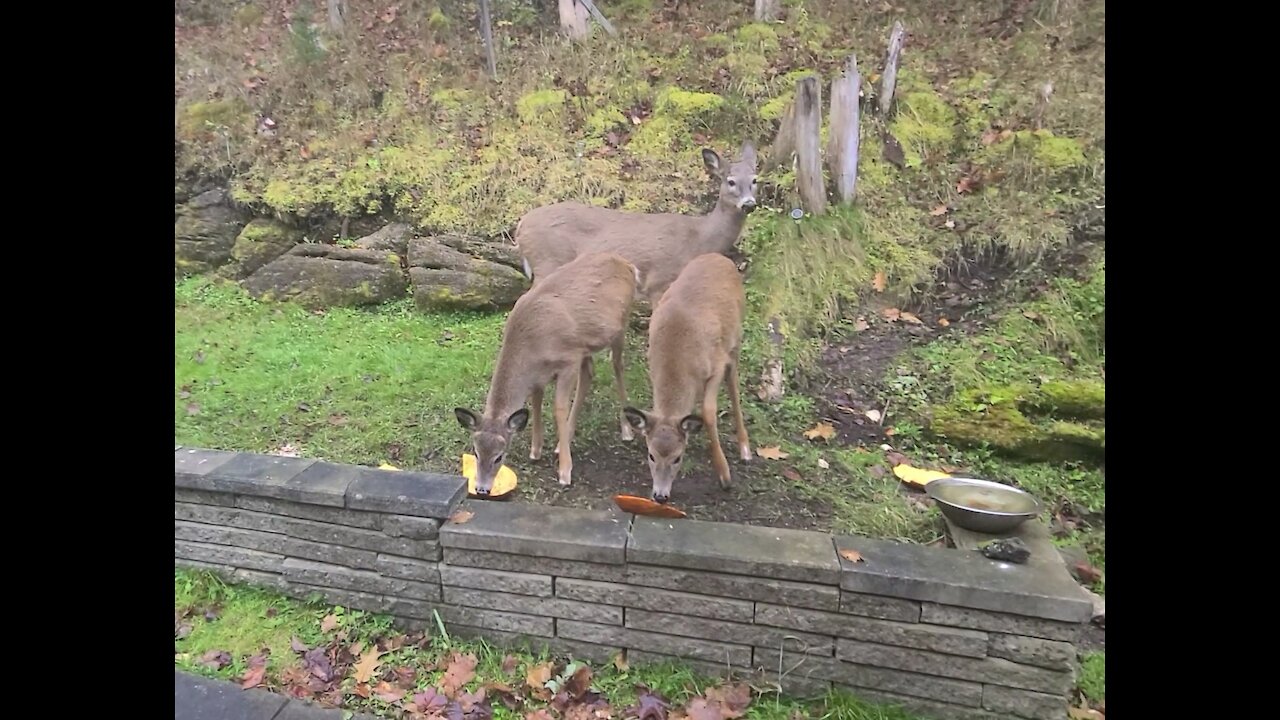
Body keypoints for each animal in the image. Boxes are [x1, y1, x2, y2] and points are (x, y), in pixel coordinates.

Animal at [458, 249, 640, 489]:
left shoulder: (568, 360)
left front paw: (565, 472)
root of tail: (629, 265)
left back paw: (626, 430)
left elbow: (558, 408)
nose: (482, 488)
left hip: (620, 324)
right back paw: (563, 442)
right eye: (476, 452)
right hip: (585, 345)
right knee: (590, 372)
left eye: (499, 456)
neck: (531, 344)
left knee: (617, 366)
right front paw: (536, 450)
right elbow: (536, 402)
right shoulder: (540, 373)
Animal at [512, 141, 752, 303]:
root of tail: (521, 225)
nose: (749, 203)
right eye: (731, 181)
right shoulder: (659, 281)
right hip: (547, 260)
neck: (699, 239)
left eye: (755, 180)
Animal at [622, 254, 747, 502]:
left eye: (678, 458)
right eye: (651, 455)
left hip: (735, 338)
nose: (660, 496)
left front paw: (725, 475)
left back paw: (745, 448)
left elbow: (708, 412)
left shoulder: (716, 365)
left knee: (734, 384)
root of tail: (720, 257)